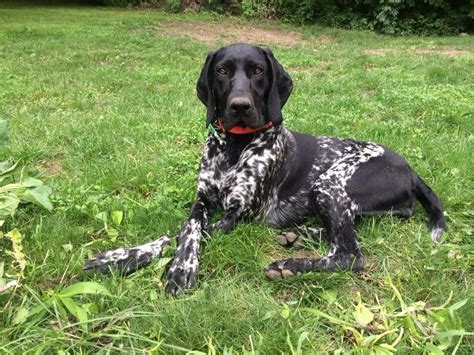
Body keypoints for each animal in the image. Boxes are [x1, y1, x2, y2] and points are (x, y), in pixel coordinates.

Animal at [85, 43, 448, 296]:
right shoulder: (202, 200)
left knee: (348, 254)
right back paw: (298, 234)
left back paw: (290, 264)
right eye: (222, 71)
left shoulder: (237, 215)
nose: (240, 106)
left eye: (258, 71)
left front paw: (173, 267)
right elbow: (185, 229)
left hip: (329, 183)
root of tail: (410, 168)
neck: (235, 146)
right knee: (350, 229)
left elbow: (182, 234)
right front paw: (120, 256)